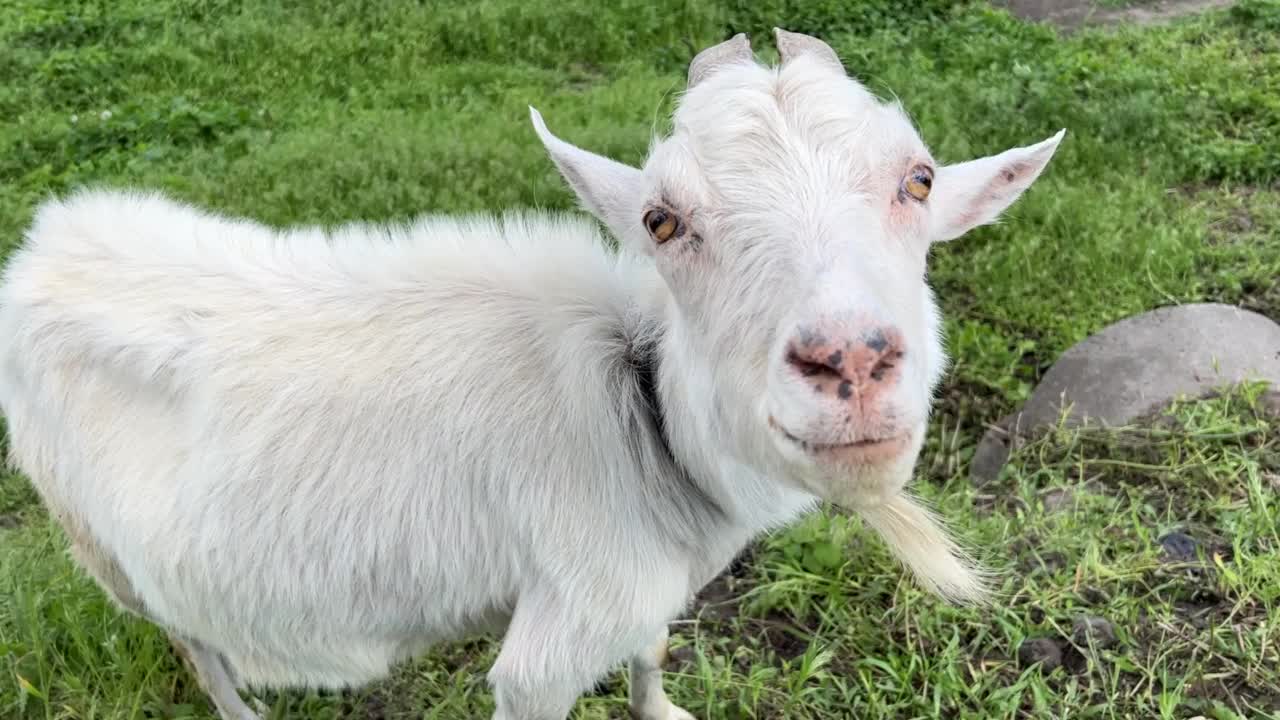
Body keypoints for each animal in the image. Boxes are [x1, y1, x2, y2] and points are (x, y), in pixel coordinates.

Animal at [0, 29, 1059, 717]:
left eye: (919, 181)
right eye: (661, 220)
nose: (850, 360)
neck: (643, 410)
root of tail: (44, 246)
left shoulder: (641, 592)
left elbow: (652, 651)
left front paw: (662, 711)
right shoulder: (558, 634)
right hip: (94, 538)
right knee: (188, 638)